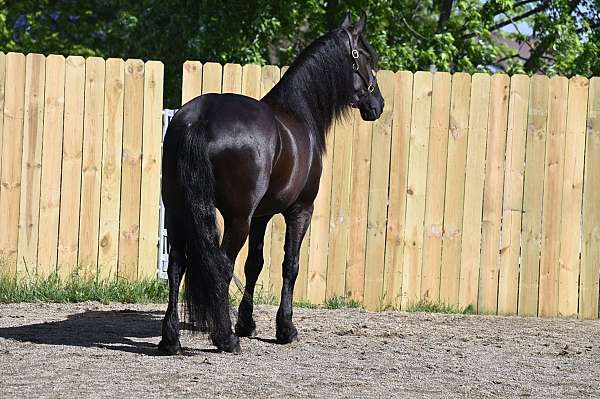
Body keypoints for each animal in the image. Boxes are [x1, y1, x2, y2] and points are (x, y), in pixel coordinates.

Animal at [159, 11, 384, 356]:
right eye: (366, 59)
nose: (378, 104)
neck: (300, 113)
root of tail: (200, 119)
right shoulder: (300, 210)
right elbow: (289, 265)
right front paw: (285, 328)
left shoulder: (261, 216)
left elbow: (255, 264)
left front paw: (247, 323)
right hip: (236, 218)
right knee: (221, 265)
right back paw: (225, 338)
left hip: (178, 211)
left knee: (177, 267)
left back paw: (170, 339)